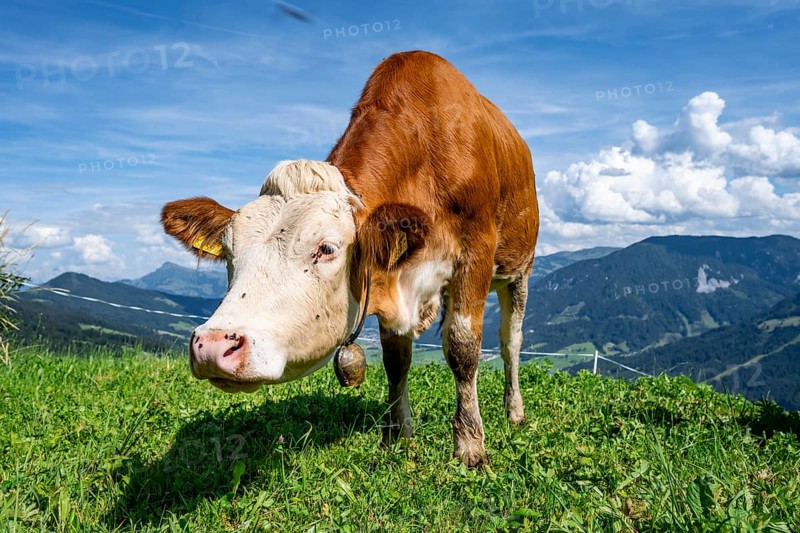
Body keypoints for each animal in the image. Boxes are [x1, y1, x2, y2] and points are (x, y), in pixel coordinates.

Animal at [161, 51, 539, 466]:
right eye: (229, 251)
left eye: (326, 248)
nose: (213, 346)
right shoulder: (389, 277)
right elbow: (396, 360)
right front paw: (397, 436)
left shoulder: (475, 254)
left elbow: (463, 347)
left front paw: (470, 446)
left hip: (520, 268)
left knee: (511, 340)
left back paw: (515, 412)